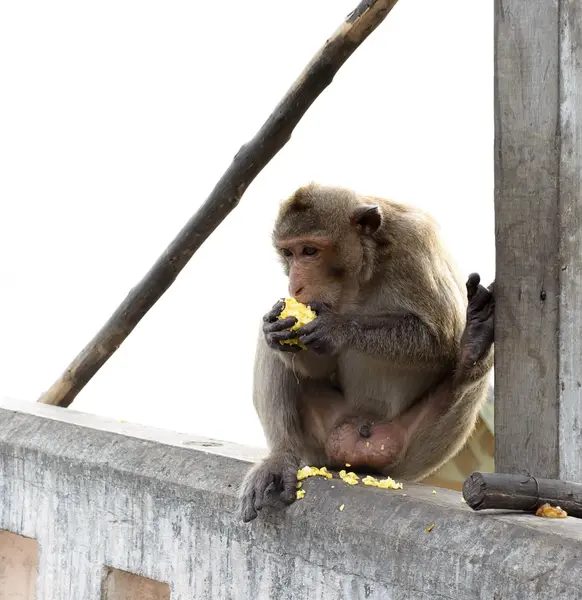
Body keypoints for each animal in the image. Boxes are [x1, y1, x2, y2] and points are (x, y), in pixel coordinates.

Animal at [240, 184, 496, 524]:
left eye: (310, 251)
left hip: (413, 453)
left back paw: (474, 344)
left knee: (468, 373)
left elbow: (442, 339)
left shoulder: (414, 242)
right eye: (288, 253)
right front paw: (276, 329)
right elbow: (310, 363)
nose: (295, 287)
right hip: (322, 438)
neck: (360, 275)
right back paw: (281, 457)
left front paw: (337, 329)